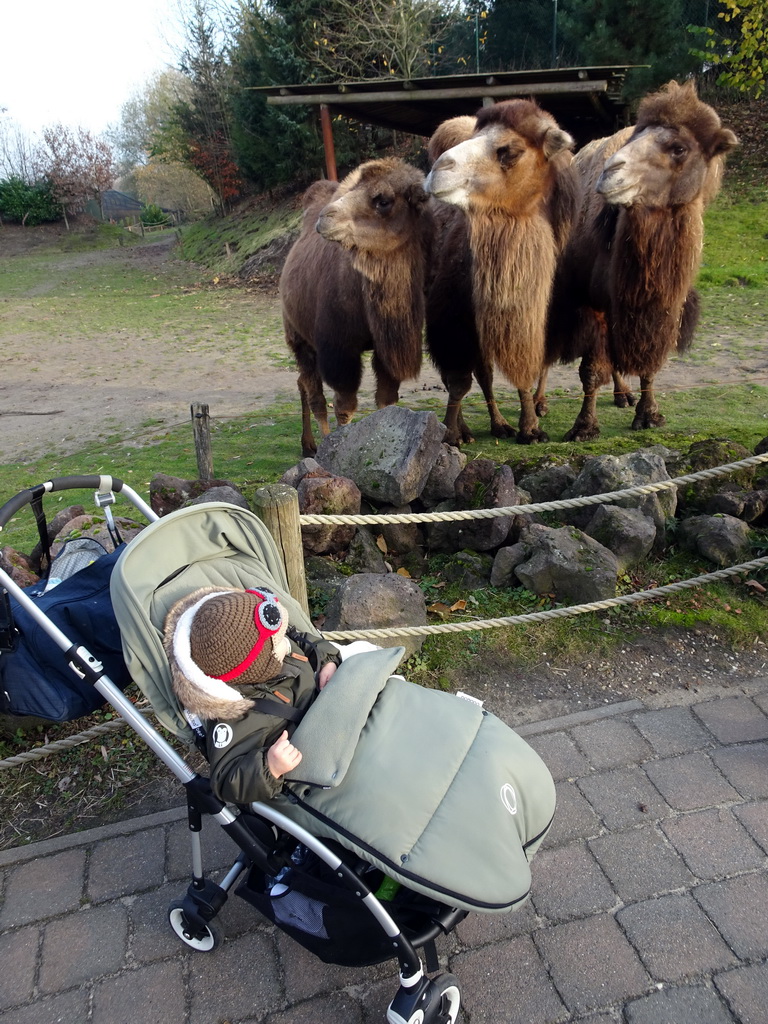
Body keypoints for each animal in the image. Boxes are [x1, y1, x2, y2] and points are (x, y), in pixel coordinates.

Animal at [278, 154, 436, 452]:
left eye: (383, 200)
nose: (325, 217)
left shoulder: (386, 347)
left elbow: (386, 399)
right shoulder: (340, 349)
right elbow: (344, 406)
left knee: (303, 383)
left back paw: (308, 444)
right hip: (298, 337)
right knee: (315, 393)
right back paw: (315, 445)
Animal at [423, 98, 581, 444]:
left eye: (509, 150)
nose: (439, 170)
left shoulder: (540, 316)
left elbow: (527, 366)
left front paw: (530, 427)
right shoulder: (452, 317)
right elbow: (459, 381)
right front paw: (450, 434)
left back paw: (505, 421)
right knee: (468, 375)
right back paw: (470, 428)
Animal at [540, 79, 741, 440]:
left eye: (679, 148)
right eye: (637, 137)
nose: (611, 173)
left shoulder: (661, 304)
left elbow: (647, 360)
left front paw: (649, 414)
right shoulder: (589, 301)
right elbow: (590, 370)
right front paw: (584, 427)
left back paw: (623, 395)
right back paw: (540, 404)